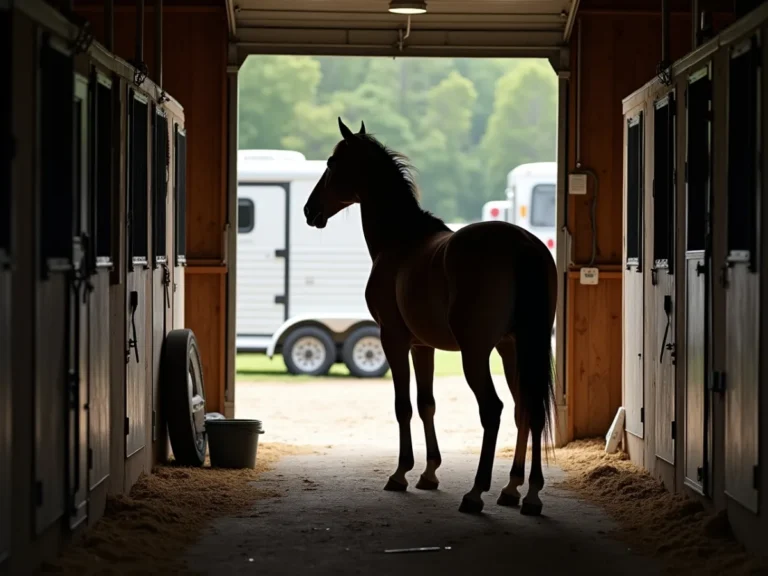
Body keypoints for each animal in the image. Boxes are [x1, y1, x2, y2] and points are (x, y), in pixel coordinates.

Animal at [303, 118, 557, 516]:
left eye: (331, 163)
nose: (309, 210)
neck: (401, 241)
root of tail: (523, 246)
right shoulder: (423, 346)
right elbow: (427, 404)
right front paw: (429, 473)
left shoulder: (393, 339)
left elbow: (403, 406)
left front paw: (400, 474)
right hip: (515, 348)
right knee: (527, 408)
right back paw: (521, 491)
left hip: (477, 353)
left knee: (493, 409)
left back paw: (476, 493)